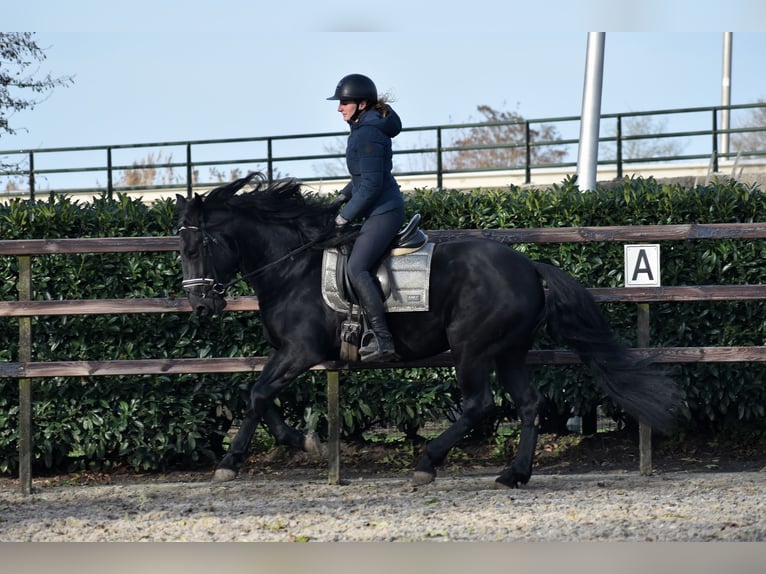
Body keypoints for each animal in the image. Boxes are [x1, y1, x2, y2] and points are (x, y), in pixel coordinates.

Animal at [177, 173, 688, 488]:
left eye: (197, 247)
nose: (201, 304)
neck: (292, 267)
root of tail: (528, 266)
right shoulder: (288, 353)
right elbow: (257, 397)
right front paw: (266, 452)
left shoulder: (300, 351)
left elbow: (259, 394)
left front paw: (274, 451)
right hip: (509, 351)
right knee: (528, 404)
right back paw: (514, 474)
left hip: (471, 347)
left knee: (479, 404)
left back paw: (427, 464)